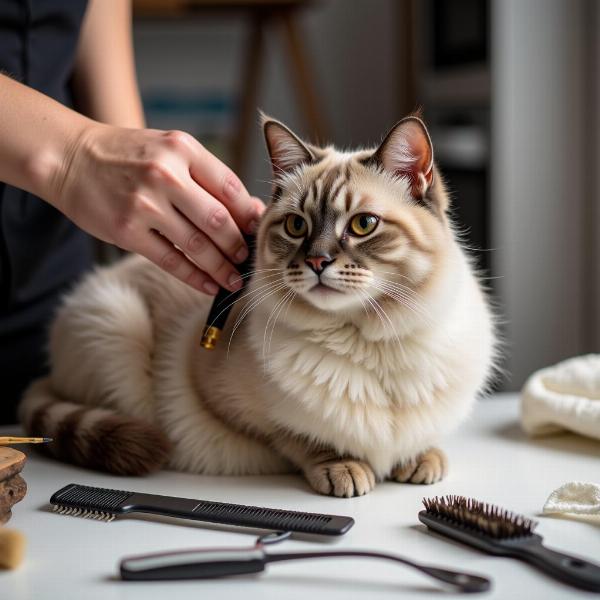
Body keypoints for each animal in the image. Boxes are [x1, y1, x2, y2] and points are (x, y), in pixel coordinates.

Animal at [19, 112, 496, 496]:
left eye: (363, 225)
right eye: (296, 226)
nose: (317, 262)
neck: (370, 339)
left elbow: (418, 439)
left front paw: (418, 459)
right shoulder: (239, 412)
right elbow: (303, 440)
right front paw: (345, 467)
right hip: (117, 326)